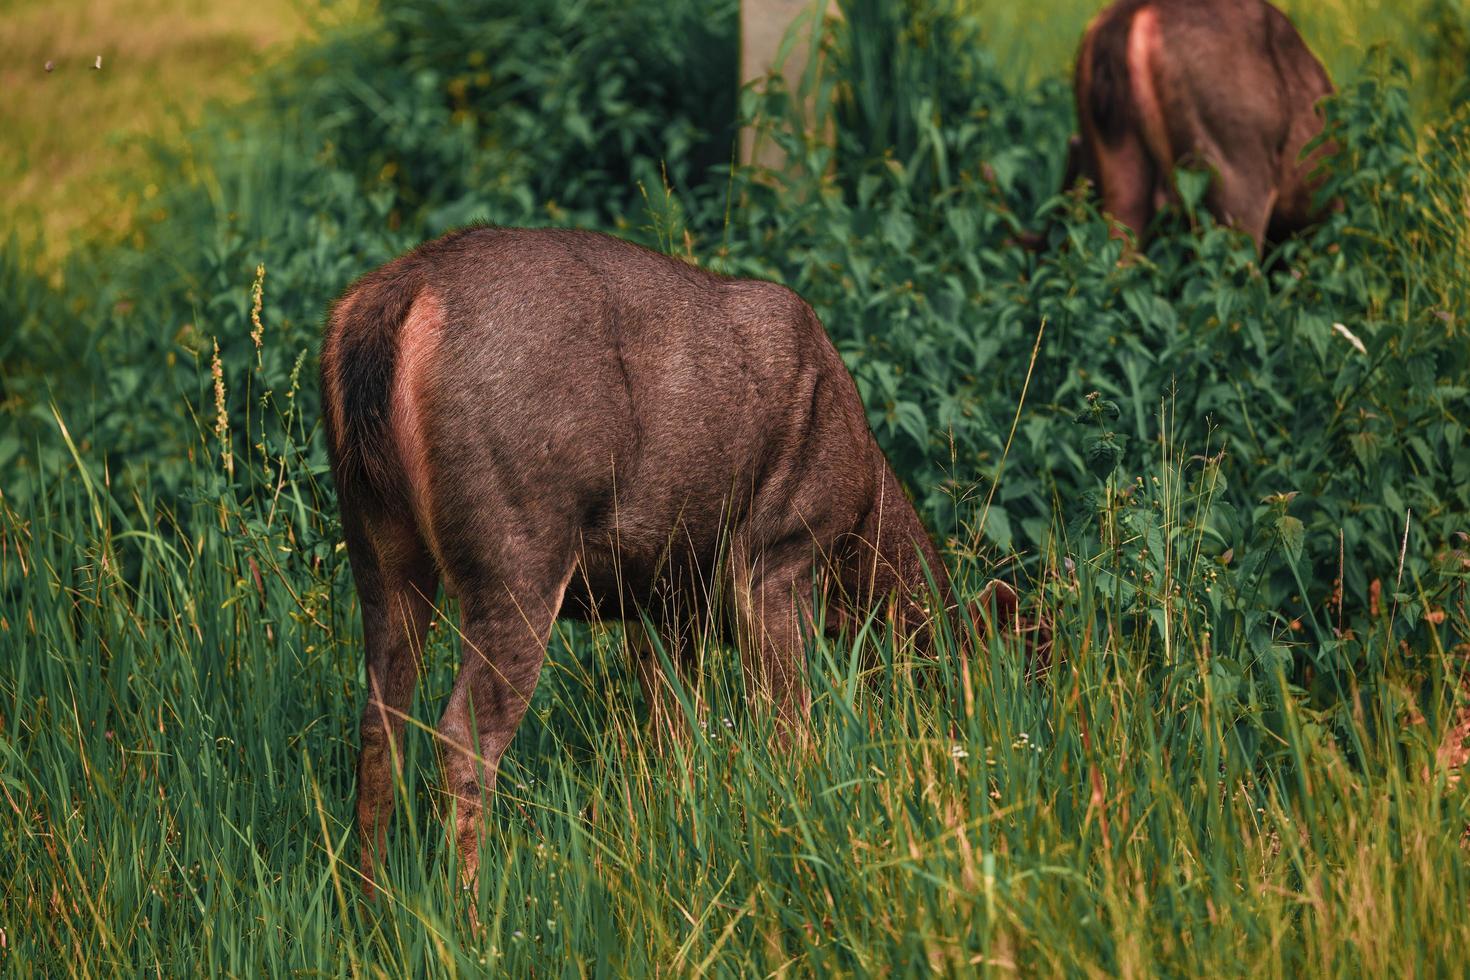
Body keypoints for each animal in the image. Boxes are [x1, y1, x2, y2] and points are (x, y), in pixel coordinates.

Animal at [318, 227, 1011, 899]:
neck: (863, 523)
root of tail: (391, 301)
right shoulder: (779, 551)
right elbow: (788, 718)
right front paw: (802, 817)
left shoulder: (665, 602)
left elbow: (674, 735)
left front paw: (681, 834)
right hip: (518, 540)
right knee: (462, 734)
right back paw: (471, 909)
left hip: (376, 536)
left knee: (380, 720)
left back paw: (370, 903)